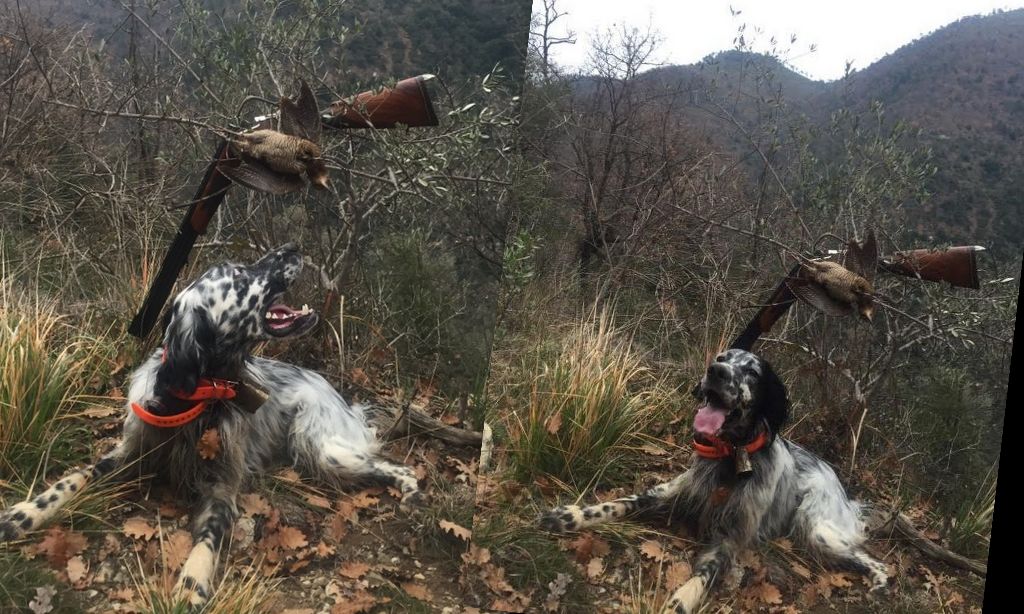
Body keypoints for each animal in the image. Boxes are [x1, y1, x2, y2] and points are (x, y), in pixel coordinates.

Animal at [0, 243, 419, 605]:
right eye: (238, 277)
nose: (293, 247)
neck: (195, 399)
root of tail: (335, 391)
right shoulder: (130, 450)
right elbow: (73, 478)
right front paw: (23, 515)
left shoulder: (222, 486)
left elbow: (207, 540)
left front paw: (190, 586)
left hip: (320, 447)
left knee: (397, 466)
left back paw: (413, 493)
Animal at [540, 349, 884, 614]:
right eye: (722, 358)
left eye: (752, 372)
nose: (715, 370)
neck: (729, 456)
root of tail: (840, 485)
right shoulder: (673, 492)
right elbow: (620, 503)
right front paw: (571, 517)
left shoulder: (729, 539)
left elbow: (700, 578)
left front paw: (676, 603)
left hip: (817, 529)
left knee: (878, 563)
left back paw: (879, 585)